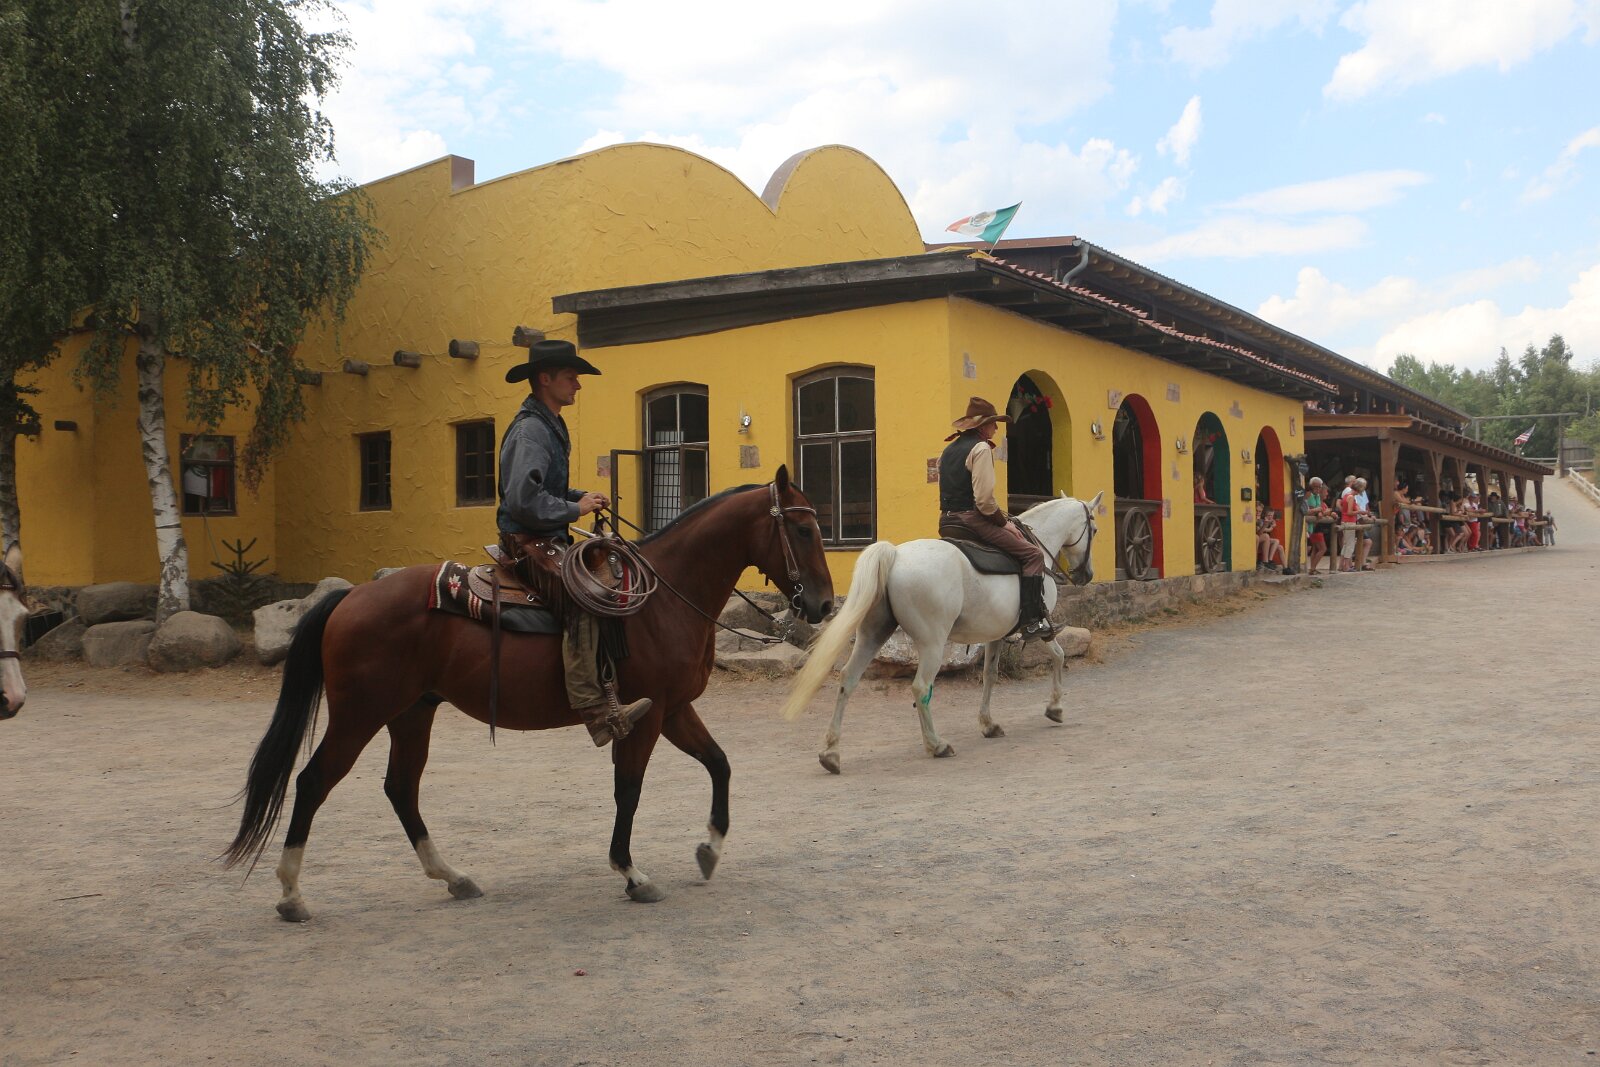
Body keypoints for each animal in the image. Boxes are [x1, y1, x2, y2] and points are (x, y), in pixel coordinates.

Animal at [224, 469, 832, 921]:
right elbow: (629, 790)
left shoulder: (675, 708)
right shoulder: (647, 713)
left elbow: (719, 763)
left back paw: (453, 877)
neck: (663, 599)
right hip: (360, 714)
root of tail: (349, 598)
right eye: (802, 531)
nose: (823, 604)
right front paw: (631, 872)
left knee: (400, 788)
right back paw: (291, 894)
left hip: (411, 713)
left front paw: (709, 849)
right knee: (313, 782)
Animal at [780, 492, 1102, 774]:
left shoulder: (995, 635)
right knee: (921, 688)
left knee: (848, 679)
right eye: (1095, 529)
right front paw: (1055, 707)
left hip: (873, 635)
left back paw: (830, 754)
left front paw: (988, 724)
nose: (1085, 575)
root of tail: (895, 555)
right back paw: (937, 745)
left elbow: (990, 675)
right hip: (932, 644)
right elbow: (1059, 656)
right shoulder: (1037, 626)